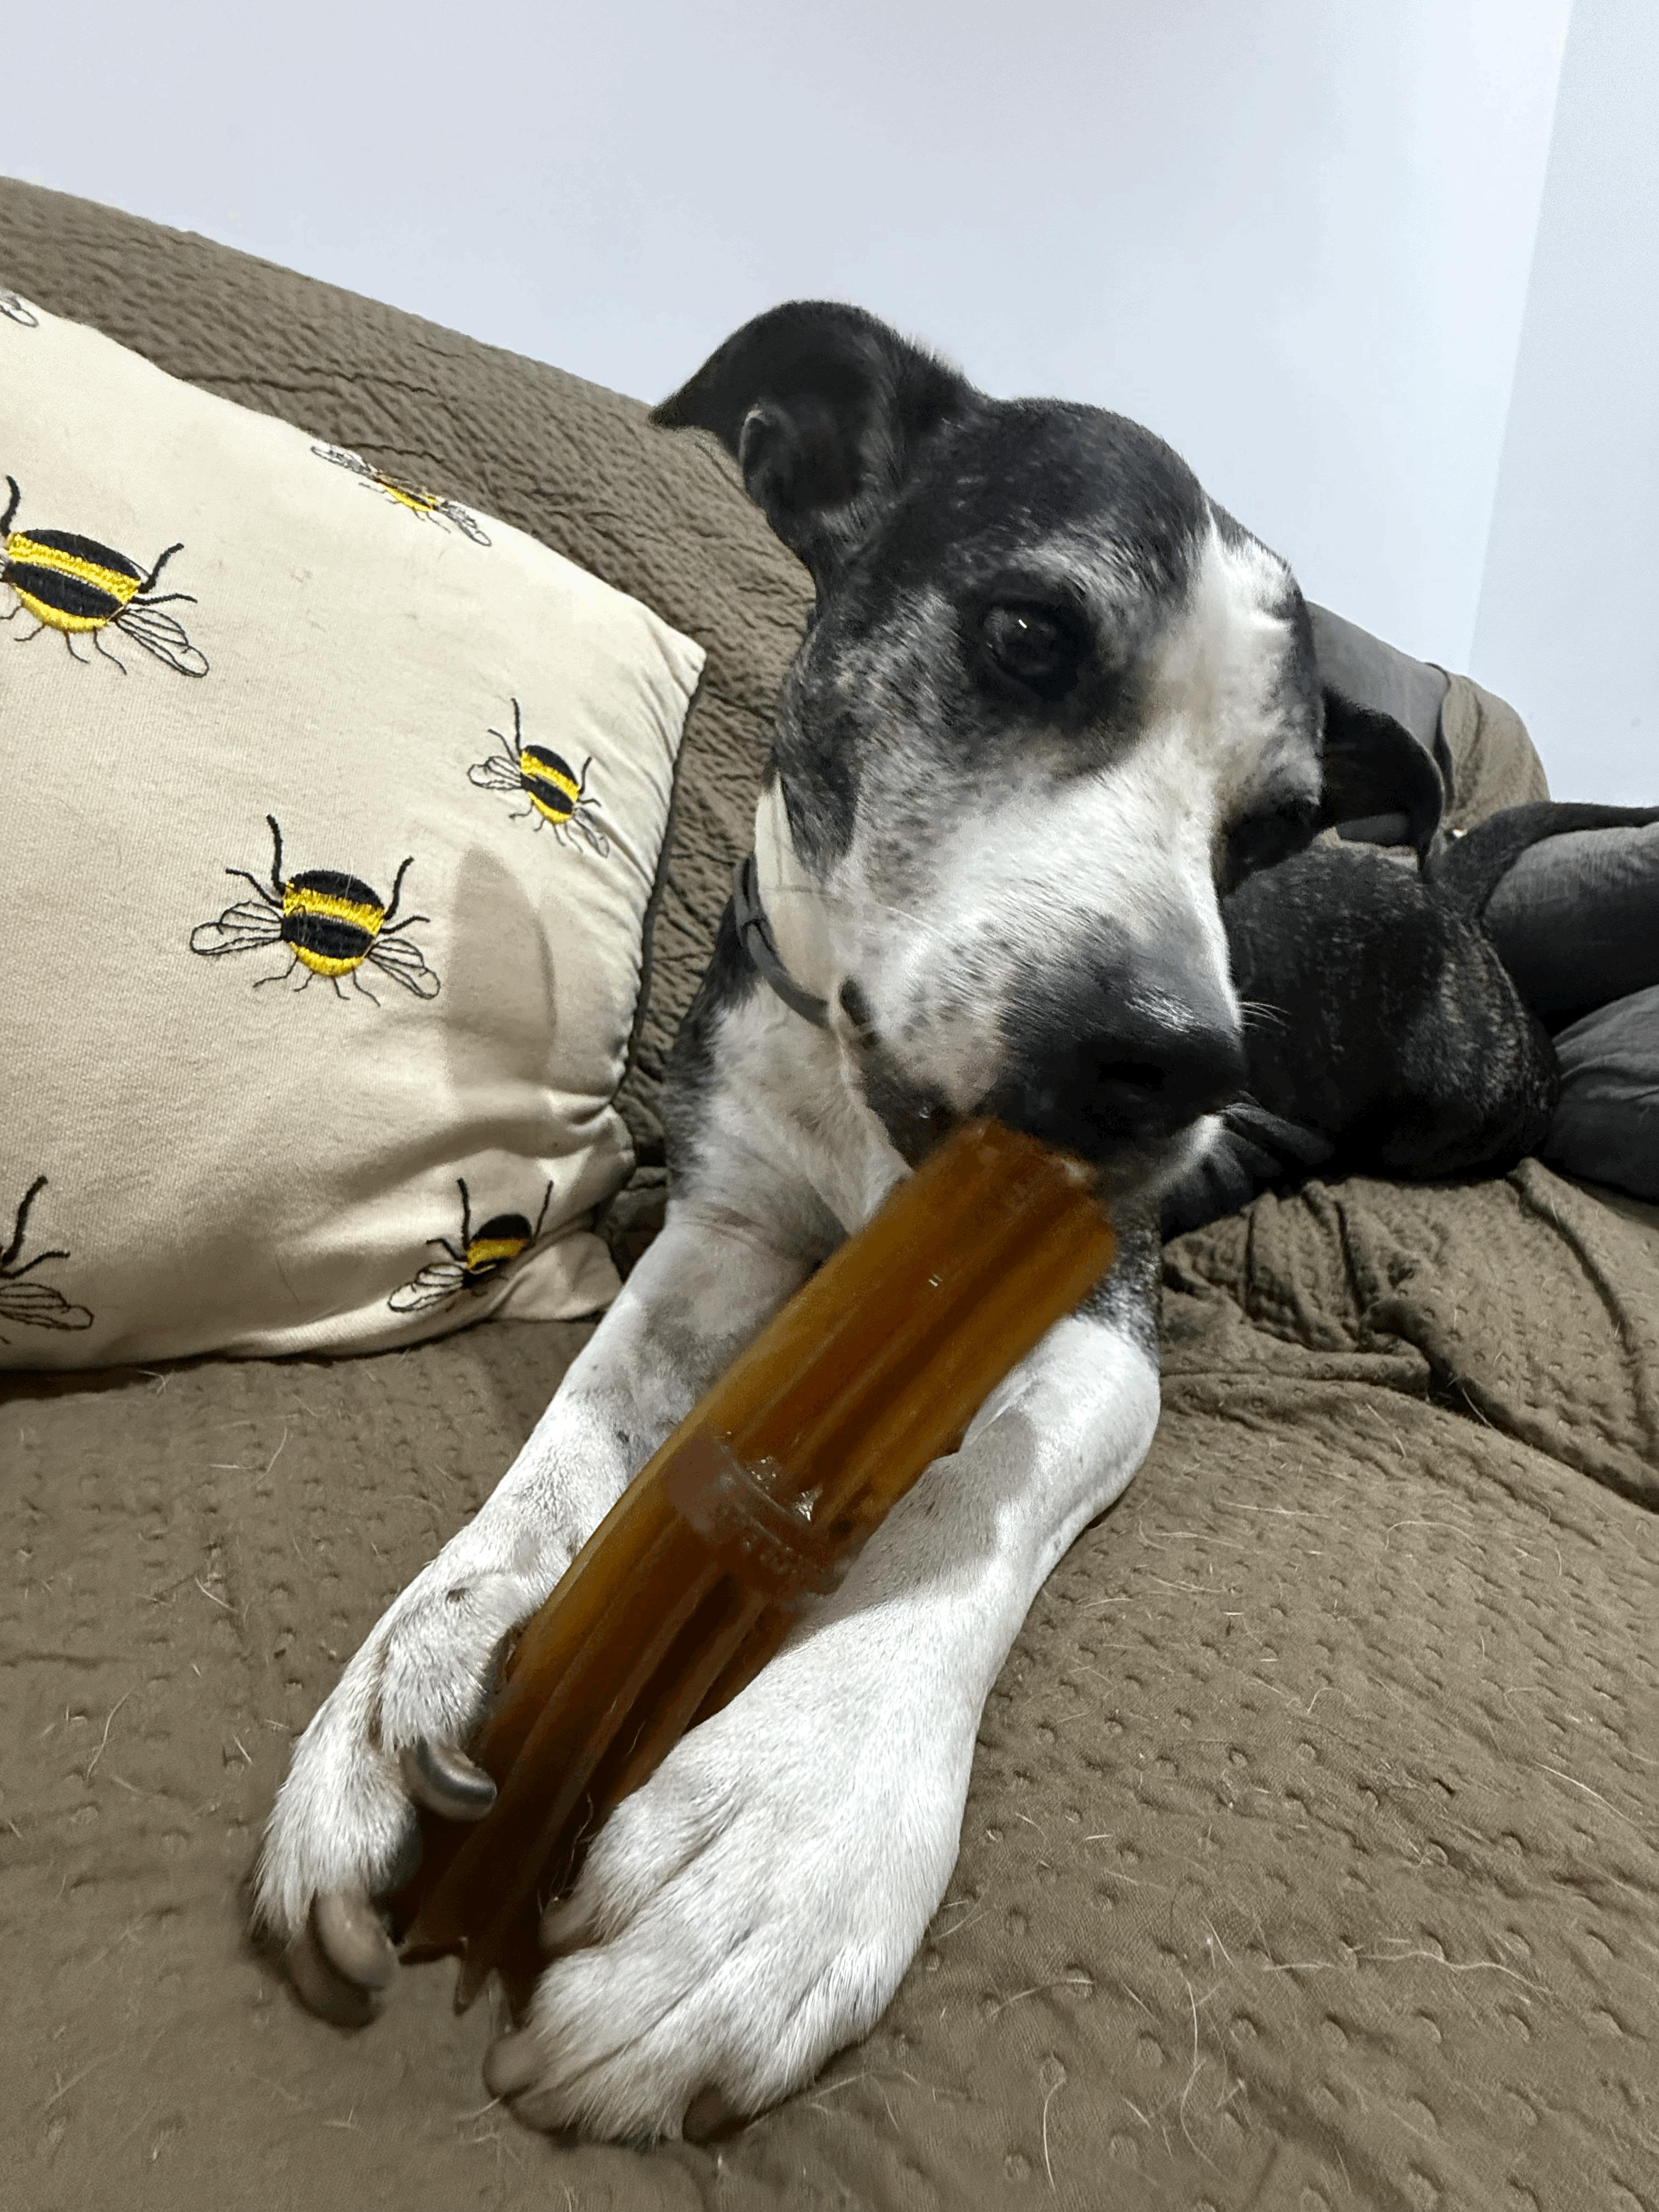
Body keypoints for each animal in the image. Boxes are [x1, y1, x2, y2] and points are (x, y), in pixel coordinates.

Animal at [255, 301, 1433, 2140]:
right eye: (1028, 634)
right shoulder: (725, 1229)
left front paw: (783, 1836)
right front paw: (415, 1670)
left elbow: (963, 1506)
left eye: (1280, 826)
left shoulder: (1097, 1316)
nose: (1174, 1061)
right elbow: (575, 1435)